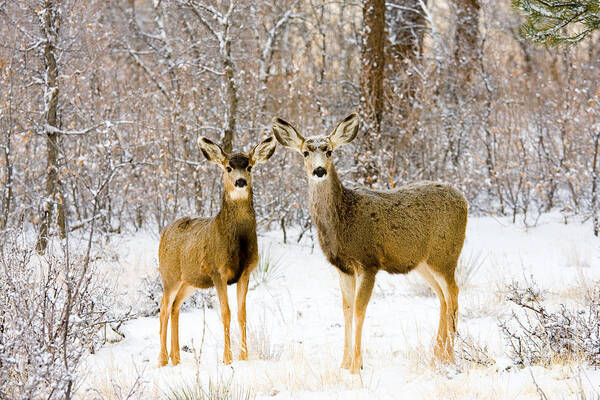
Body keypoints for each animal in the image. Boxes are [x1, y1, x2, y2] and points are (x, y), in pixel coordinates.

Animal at [156, 136, 276, 368]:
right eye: (228, 167)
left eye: (249, 166)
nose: (240, 182)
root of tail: (164, 232)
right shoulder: (217, 271)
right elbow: (225, 313)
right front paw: (227, 359)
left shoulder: (246, 272)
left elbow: (242, 314)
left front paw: (244, 356)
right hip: (169, 275)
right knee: (164, 308)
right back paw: (163, 360)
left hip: (190, 281)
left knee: (175, 307)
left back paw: (176, 358)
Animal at [272, 113, 468, 376]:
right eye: (305, 152)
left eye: (329, 151)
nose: (319, 170)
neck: (342, 217)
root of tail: (464, 199)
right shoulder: (343, 267)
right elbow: (345, 310)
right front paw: (343, 364)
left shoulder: (368, 262)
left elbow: (359, 310)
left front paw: (357, 366)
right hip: (422, 262)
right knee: (442, 296)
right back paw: (436, 353)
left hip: (445, 254)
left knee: (453, 292)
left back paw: (449, 355)